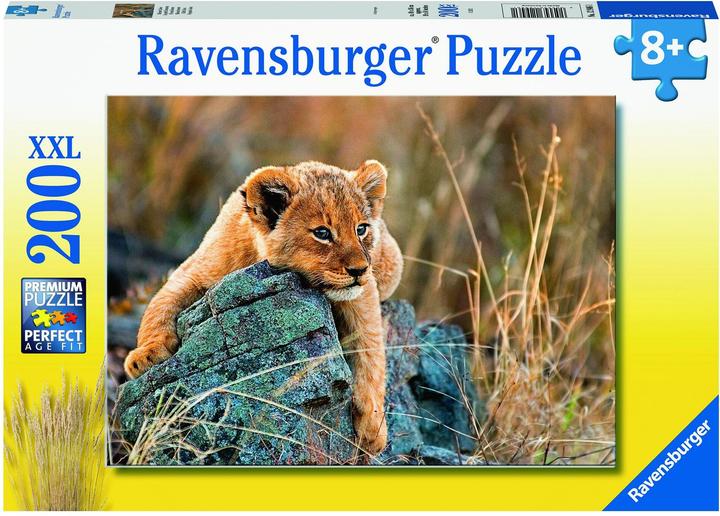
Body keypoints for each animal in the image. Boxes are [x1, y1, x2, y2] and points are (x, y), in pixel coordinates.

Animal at [124, 160, 403, 455]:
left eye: (361, 229)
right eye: (322, 233)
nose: (359, 270)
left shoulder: (363, 295)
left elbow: (371, 352)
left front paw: (373, 428)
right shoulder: (193, 271)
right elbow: (159, 305)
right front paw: (145, 356)